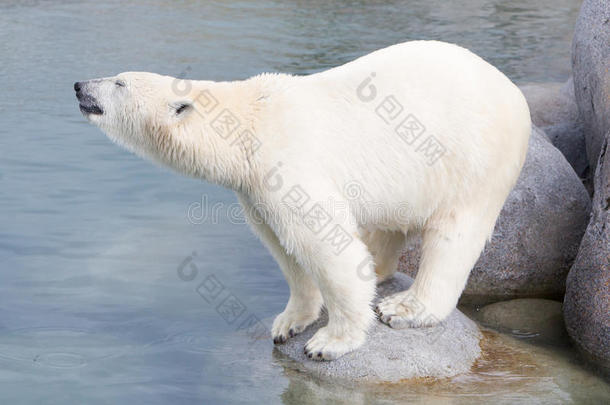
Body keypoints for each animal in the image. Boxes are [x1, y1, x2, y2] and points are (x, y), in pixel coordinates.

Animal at [75, 41, 528, 360]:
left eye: (119, 82)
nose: (79, 85)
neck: (247, 125)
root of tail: (514, 91)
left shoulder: (289, 164)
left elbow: (324, 242)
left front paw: (329, 342)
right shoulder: (254, 190)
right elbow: (284, 246)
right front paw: (289, 323)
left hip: (473, 161)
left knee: (453, 236)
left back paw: (406, 307)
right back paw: (378, 266)